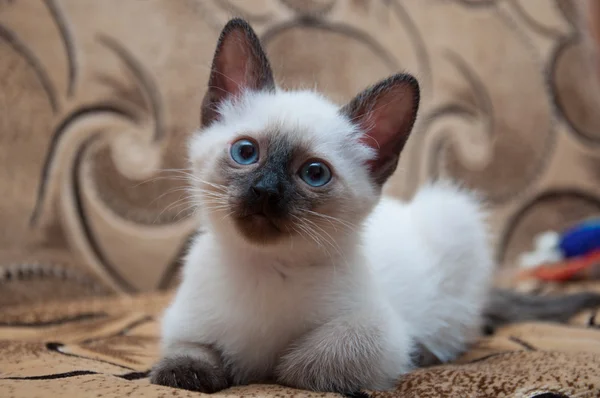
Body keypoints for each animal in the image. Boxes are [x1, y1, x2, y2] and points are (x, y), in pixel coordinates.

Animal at [150, 17, 600, 392]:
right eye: (245, 152)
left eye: (314, 173)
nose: (265, 191)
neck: (265, 268)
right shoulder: (182, 322)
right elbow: (186, 354)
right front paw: (191, 372)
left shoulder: (375, 332)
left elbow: (305, 365)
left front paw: (270, 368)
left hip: (452, 213)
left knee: (462, 325)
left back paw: (432, 349)